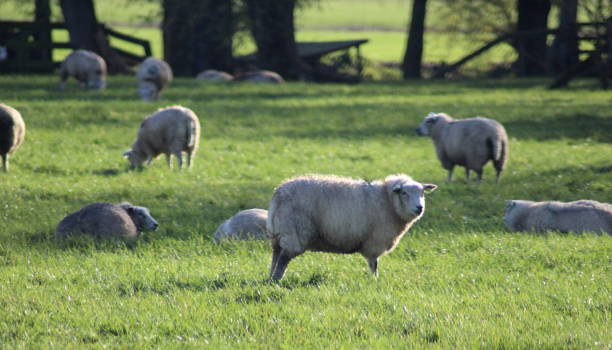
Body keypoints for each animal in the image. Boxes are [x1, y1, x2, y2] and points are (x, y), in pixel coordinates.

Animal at [268, 174, 436, 282]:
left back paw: (270, 278)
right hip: (295, 233)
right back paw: (277, 281)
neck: (388, 201)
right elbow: (374, 264)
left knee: (276, 255)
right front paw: (375, 281)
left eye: (422, 193)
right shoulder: (374, 242)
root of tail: (278, 192)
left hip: (279, 234)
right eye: (404, 193)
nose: (419, 208)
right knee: (283, 259)